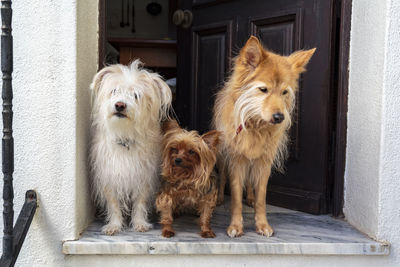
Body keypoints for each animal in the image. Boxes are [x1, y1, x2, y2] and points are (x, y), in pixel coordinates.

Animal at [90, 60, 171, 234]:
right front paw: (114, 225)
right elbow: (113, 204)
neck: (125, 137)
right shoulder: (109, 177)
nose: (120, 105)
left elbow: (140, 203)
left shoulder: (144, 177)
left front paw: (139, 223)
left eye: (136, 95)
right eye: (115, 91)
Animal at [212, 36, 316, 239]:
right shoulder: (236, 160)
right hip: (222, 155)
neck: (256, 124)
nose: (279, 117)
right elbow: (236, 197)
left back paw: (250, 198)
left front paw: (262, 224)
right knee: (222, 177)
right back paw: (219, 197)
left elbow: (261, 197)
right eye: (263, 89)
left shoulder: (264, 162)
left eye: (284, 92)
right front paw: (235, 225)